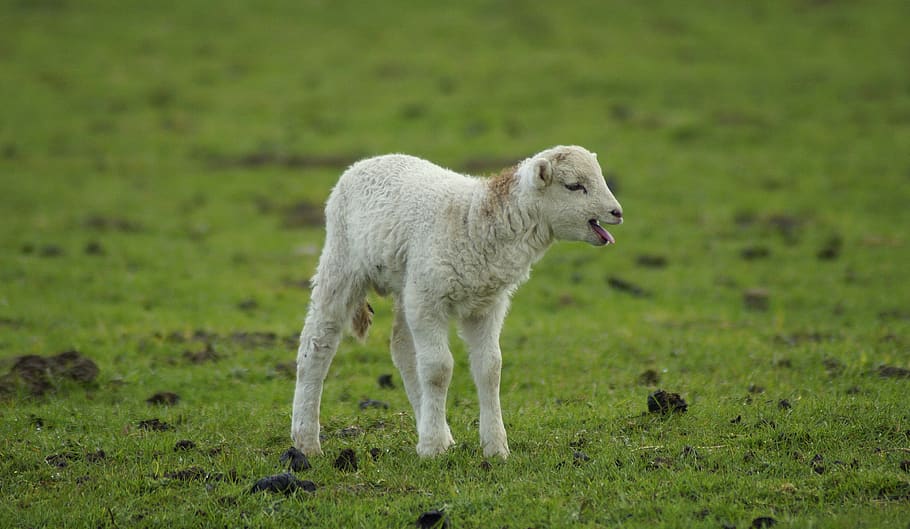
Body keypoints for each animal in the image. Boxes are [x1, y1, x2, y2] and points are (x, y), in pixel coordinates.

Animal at [291, 145, 623, 459]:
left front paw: (495, 447)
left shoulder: (486, 305)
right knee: (317, 343)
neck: (475, 218)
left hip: (407, 282)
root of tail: (365, 162)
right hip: (343, 260)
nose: (617, 212)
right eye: (574, 186)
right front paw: (433, 448)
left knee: (402, 349)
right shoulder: (428, 300)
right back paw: (306, 440)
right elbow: (438, 369)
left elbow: (490, 368)